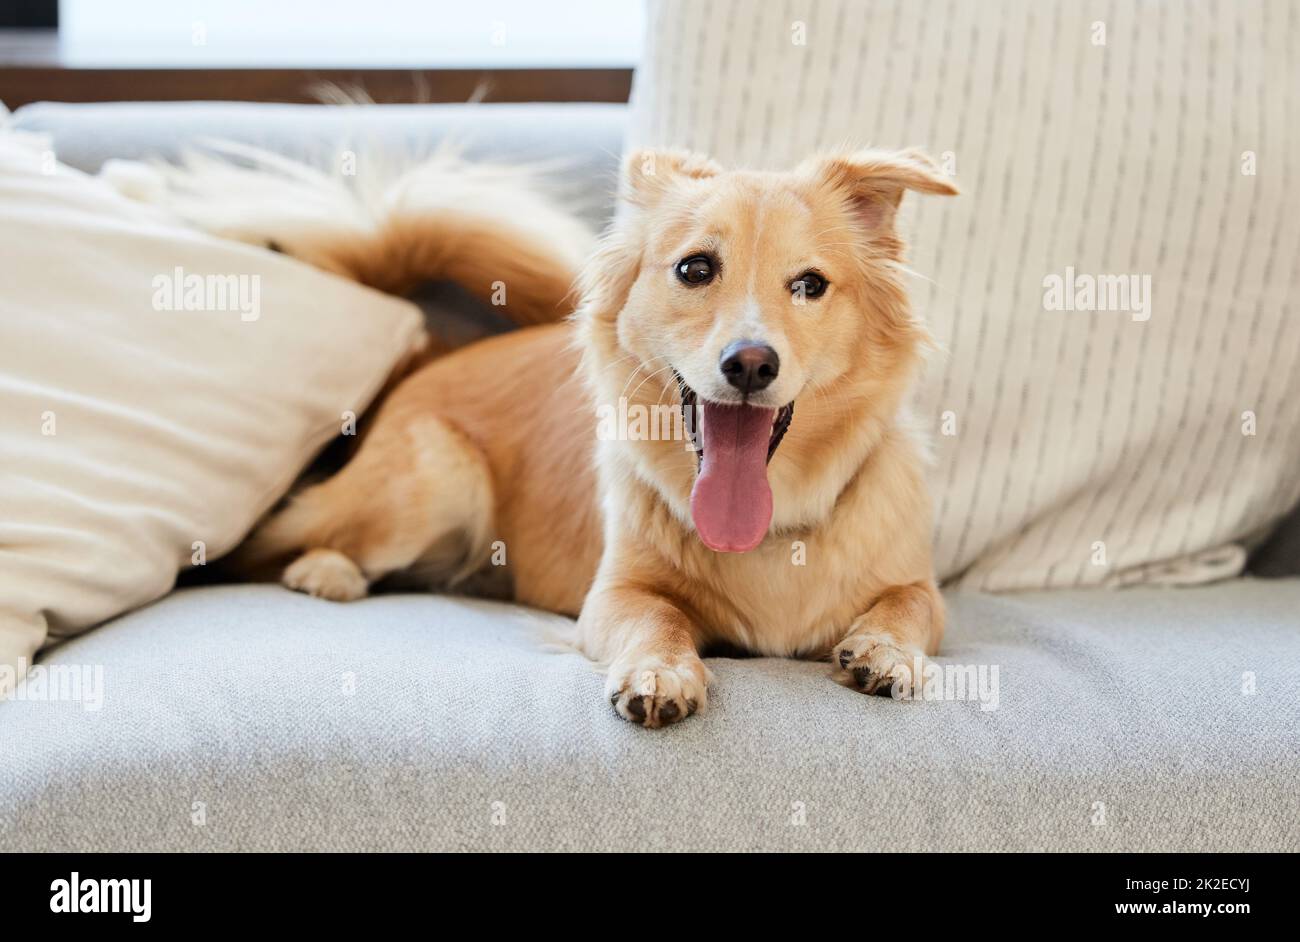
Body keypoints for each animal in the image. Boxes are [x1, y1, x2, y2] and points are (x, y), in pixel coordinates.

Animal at [157, 141, 961, 727]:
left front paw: (886, 653)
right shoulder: (613, 596)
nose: (751, 363)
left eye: (810, 286)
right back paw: (325, 572)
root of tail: (433, 353)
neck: (767, 527)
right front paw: (661, 670)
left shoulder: (917, 585)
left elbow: (913, 606)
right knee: (285, 536)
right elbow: (657, 618)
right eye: (695, 268)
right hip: (426, 488)